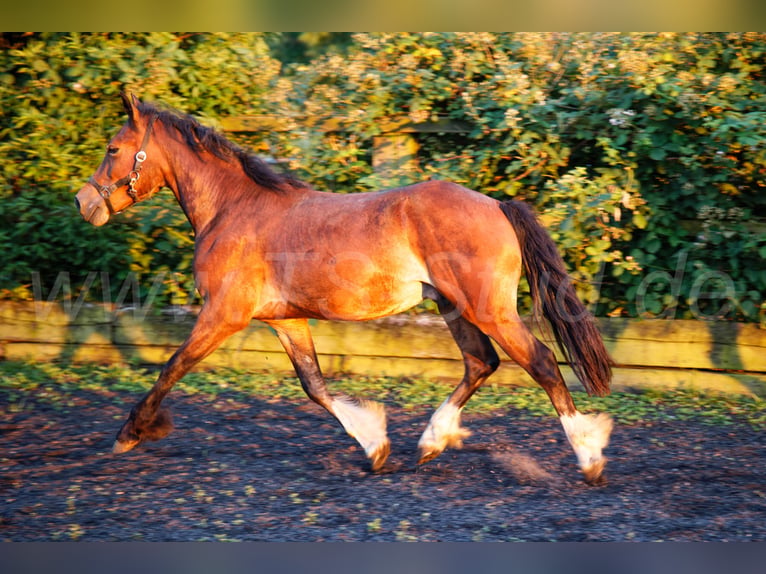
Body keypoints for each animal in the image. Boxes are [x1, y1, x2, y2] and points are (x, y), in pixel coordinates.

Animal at [75, 93, 614, 484]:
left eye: (112, 149)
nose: (83, 203)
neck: (234, 208)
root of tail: (498, 205)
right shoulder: (285, 319)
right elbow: (314, 386)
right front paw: (375, 446)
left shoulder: (223, 314)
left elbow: (171, 367)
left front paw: (130, 432)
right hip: (453, 307)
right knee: (482, 363)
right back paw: (431, 442)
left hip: (485, 307)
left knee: (540, 362)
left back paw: (589, 458)